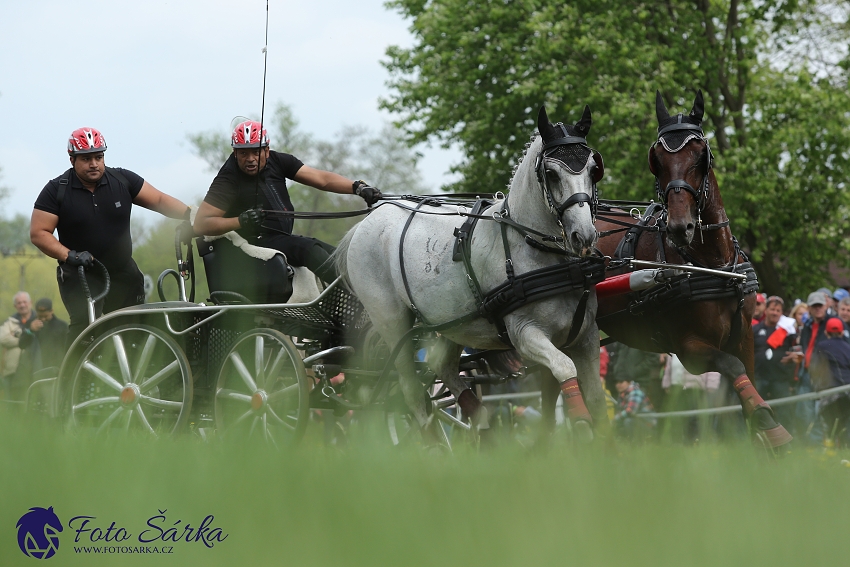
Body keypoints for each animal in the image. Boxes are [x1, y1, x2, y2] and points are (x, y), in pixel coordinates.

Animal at [332, 106, 608, 444]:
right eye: (552, 173)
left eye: (594, 169)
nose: (584, 235)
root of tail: (367, 222)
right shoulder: (525, 333)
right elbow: (564, 368)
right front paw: (582, 428)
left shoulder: (586, 336)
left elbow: (596, 398)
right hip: (392, 322)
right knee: (411, 390)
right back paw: (435, 444)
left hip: (453, 323)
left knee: (441, 366)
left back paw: (484, 430)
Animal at [544, 91, 788, 450]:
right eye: (656, 159)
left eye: (701, 156)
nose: (679, 226)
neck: (712, 265)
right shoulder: (689, 348)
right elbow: (731, 367)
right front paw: (773, 428)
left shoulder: (745, 339)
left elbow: (746, 388)